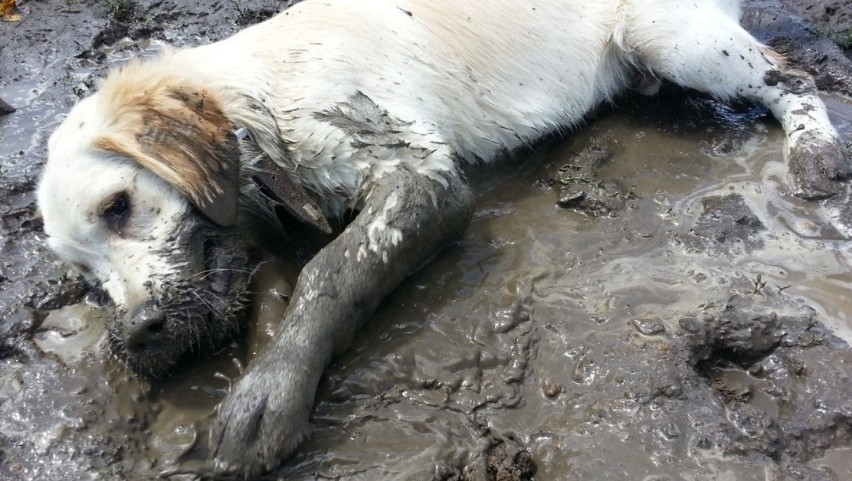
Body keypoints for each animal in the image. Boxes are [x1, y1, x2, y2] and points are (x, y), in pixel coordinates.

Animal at [36, 0, 848, 476]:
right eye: (85, 280)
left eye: (118, 206)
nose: (136, 334)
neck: (263, 99)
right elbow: (271, 282)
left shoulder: (420, 175)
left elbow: (331, 273)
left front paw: (268, 400)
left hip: (672, 35)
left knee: (792, 75)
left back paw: (815, 155)